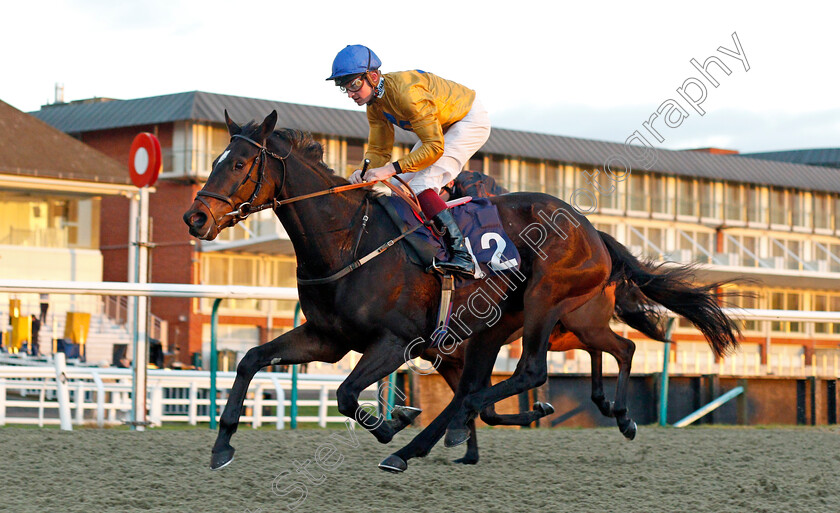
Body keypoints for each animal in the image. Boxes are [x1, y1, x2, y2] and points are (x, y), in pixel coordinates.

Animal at [182, 111, 736, 472]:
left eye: (238, 165)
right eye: (214, 159)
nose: (196, 217)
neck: (347, 241)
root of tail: (592, 230)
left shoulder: (395, 341)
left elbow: (344, 394)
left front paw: (393, 422)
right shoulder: (328, 338)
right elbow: (251, 359)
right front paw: (222, 445)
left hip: (546, 301)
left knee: (531, 371)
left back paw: (425, 441)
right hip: (520, 323)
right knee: (596, 354)